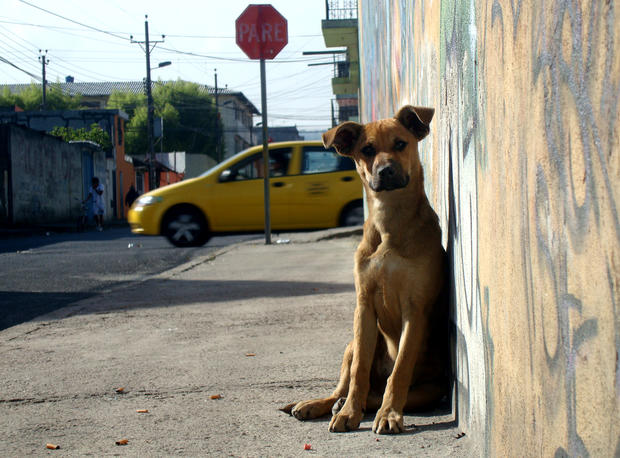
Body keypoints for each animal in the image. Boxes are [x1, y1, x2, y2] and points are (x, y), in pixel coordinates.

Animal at [282, 106, 450, 432]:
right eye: (367, 150)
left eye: (401, 143)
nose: (385, 171)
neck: (389, 223)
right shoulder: (363, 307)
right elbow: (359, 370)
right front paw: (349, 413)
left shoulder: (416, 309)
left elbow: (399, 371)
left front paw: (389, 414)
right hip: (350, 342)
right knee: (343, 386)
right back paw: (320, 404)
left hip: (431, 389)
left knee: (383, 389)